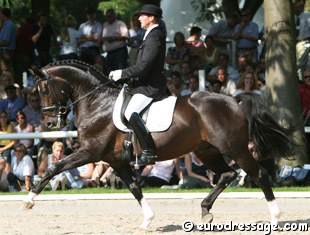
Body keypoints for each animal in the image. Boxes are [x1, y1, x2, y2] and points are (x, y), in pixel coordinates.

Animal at [23, 60, 294, 229]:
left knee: (259, 174)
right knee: (228, 174)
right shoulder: (115, 160)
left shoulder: (90, 152)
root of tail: (233, 100)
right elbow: (134, 188)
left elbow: (54, 167)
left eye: (44, 88)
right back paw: (205, 211)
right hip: (207, 151)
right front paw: (147, 221)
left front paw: (30, 199)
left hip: (234, 149)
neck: (97, 103)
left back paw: (275, 217)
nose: (49, 124)